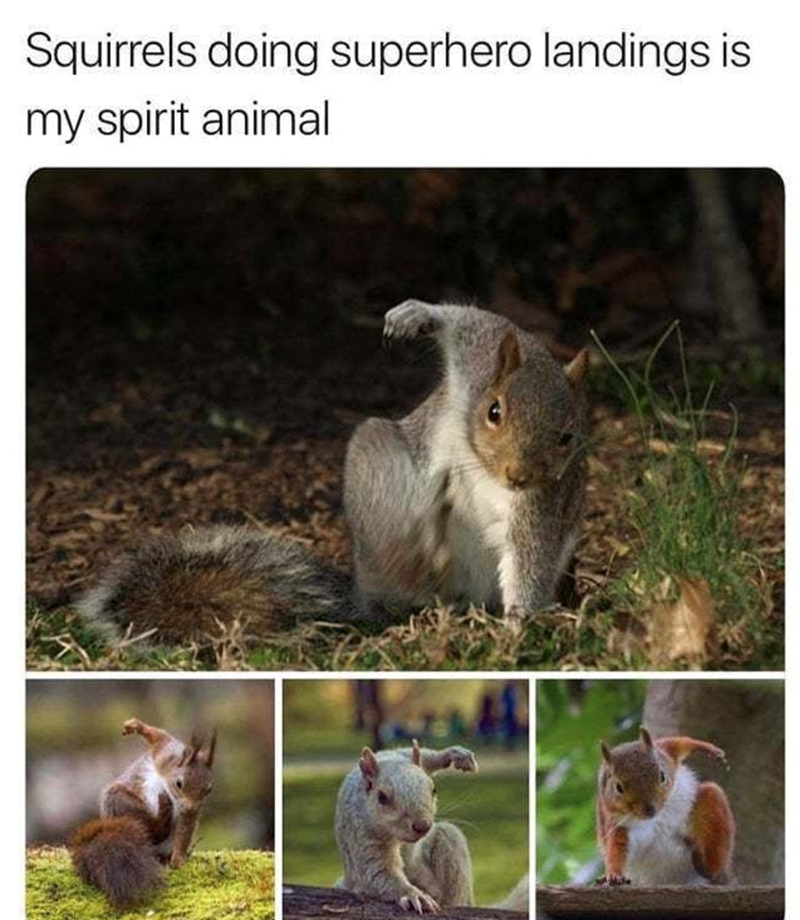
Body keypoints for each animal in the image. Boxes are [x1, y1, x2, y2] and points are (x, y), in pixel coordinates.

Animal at [69, 716, 216, 909]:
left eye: (208, 790)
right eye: (179, 783)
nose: (190, 807)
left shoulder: (188, 813)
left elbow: (184, 831)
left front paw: (178, 859)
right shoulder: (165, 751)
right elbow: (158, 736)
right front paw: (135, 726)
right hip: (118, 801)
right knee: (151, 828)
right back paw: (162, 813)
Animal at [74, 301, 589, 644]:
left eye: (568, 436)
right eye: (494, 411)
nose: (518, 474)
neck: (482, 462)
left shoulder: (542, 503)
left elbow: (530, 556)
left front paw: (521, 624)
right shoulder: (478, 358)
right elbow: (468, 321)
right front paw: (415, 316)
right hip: (376, 464)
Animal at [334, 739, 478, 913]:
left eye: (434, 789)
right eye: (382, 797)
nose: (423, 826)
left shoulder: (398, 755)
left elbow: (419, 755)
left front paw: (455, 754)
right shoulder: (362, 835)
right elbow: (377, 872)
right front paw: (413, 895)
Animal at [596, 726, 735, 887]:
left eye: (662, 775)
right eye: (618, 787)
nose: (650, 809)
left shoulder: (665, 752)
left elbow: (678, 743)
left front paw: (709, 748)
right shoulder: (617, 825)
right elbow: (615, 849)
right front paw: (614, 875)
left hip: (711, 803)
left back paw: (707, 865)